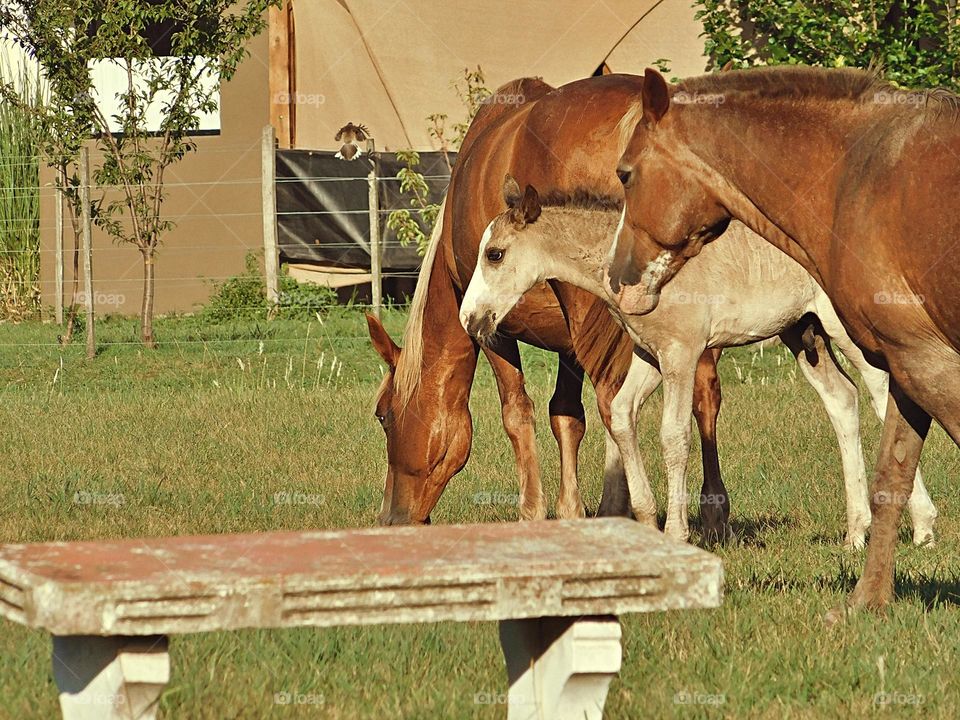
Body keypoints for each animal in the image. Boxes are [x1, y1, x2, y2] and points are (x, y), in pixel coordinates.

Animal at [366, 74, 729, 529]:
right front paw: (570, 509)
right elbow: (566, 414)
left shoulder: (493, 327)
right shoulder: (568, 343)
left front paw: (535, 512)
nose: (390, 517)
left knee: (614, 401)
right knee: (703, 396)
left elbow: (518, 412)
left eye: (383, 415)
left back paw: (619, 509)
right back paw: (713, 511)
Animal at [458, 177, 937, 548]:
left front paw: (676, 533)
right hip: (804, 331)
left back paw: (923, 527)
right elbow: (621, 414)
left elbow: (674, 434)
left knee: (883, 394)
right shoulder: (648, 354)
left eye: (495, 254)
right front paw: (648, 521)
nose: (469, 318)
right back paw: (856, 533)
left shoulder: (682, 352)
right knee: (843, 399)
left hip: (844, 330)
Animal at [608, 66, 960, 614]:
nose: (617, 278)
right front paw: (867, 601)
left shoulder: (927, 360)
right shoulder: (907, 361)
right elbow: (891, 477)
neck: (855, 177)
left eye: (625, 173)